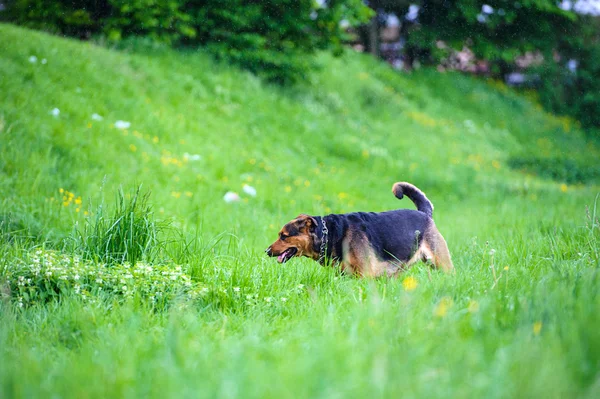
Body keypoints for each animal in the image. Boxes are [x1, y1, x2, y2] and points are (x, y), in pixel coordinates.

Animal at [264, 182, 452, 278]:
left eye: (284, 236)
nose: (266, 251)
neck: (331, 234)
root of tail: (425, 213)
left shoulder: (364, 275)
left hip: (440, 262)